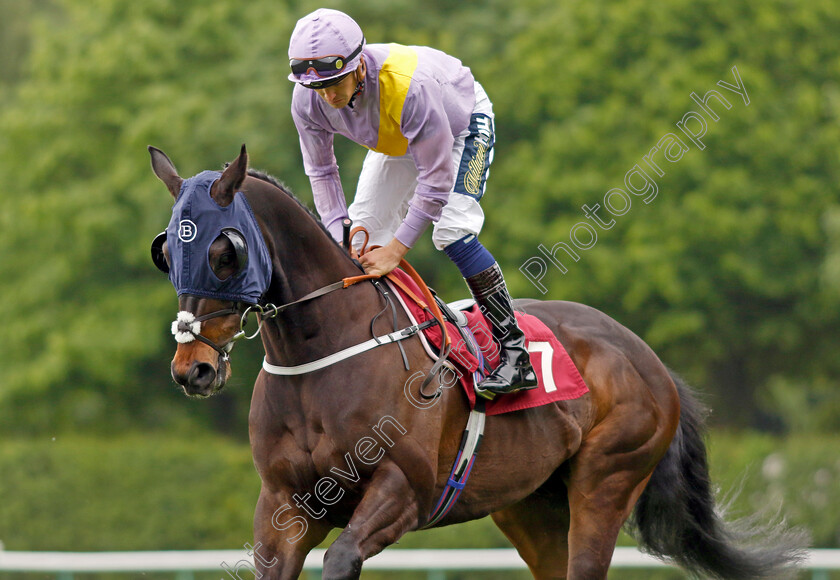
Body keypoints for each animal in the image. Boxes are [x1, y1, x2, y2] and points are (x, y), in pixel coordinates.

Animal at [148, 143, 804, 576]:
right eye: (166, 251)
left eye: (224, 251)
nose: (192, 368)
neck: (324, 356)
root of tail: (650, 360)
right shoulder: (284, 507)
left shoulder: (403, 492)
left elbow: (341, 557)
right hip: (532, 508)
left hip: (607, 480)